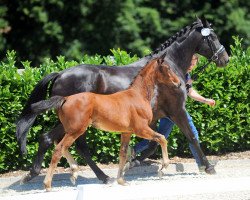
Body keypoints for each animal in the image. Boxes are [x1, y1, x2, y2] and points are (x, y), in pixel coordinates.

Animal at [30, 56, 180, 191]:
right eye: (167, 68)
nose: (178, 83)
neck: (137, 95)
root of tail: (65, 99)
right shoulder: (141, 129)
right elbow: (162, 138)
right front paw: (163, 168)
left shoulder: (126, 132)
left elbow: (122, 153)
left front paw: (121, 180)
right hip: (76, 130)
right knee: (59, 149)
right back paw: (48, 184)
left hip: (70, 129)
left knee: (58, 143)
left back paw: (74, 172)